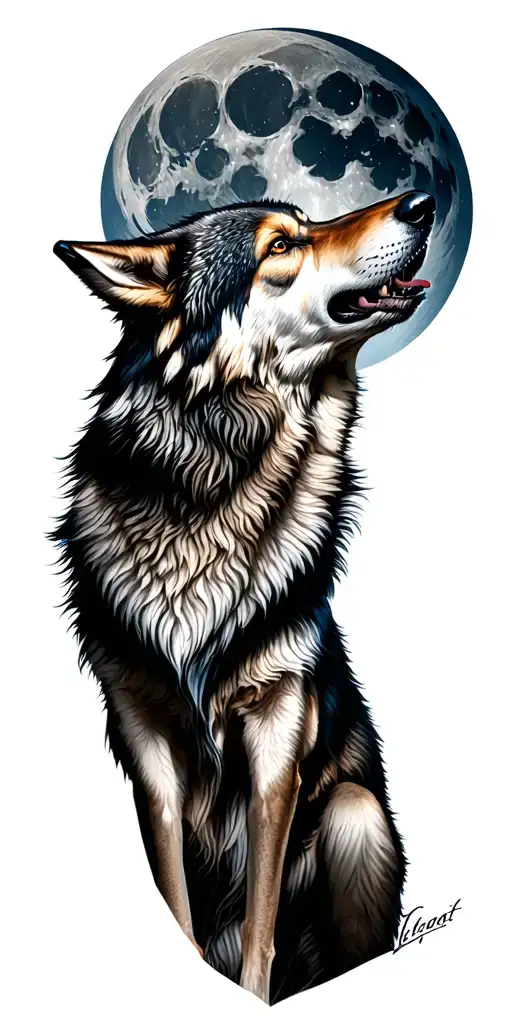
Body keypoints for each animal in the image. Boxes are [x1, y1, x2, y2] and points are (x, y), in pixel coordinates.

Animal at [53, 189, 435, 1004]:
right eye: (282, 244)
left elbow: (261, 930)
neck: (211, 489)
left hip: (356, 814)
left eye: (306, 224)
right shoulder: (147, 744)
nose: (423, 200)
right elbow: (176, 909)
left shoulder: (276, 734)